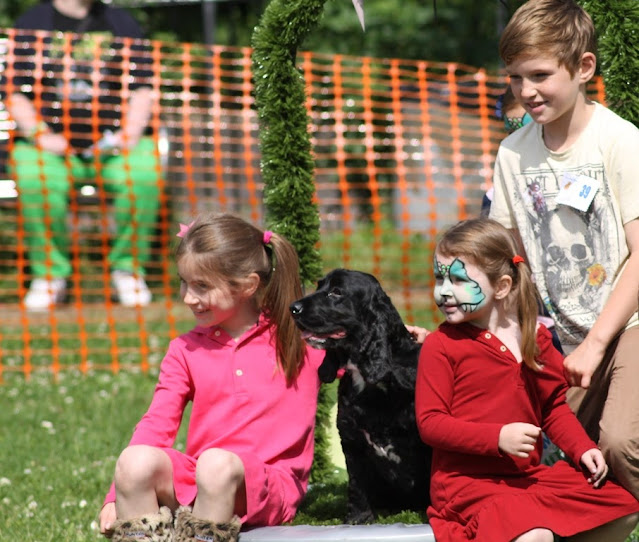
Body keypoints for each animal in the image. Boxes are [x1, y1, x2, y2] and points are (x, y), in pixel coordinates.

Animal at [292, 270, 432, 524]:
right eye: (319, 286)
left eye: (337, 292)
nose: (293, 308)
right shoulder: (351, 440)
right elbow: (357, 485)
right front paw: (358, 518)